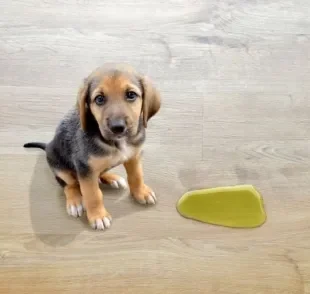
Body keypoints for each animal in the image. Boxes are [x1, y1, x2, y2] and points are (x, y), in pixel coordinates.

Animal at [23, 63, 161, 230]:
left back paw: (111, 178)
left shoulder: (133, 156)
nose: (117, 127)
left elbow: (137, 176)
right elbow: (93, 194)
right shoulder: (84, 168)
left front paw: (141, 192)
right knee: (69, 185)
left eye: (131, 95)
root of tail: (48, 145)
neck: (117, 143)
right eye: (99, 99)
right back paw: (75, 201)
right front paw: (98, 216)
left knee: (99, 174)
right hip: (60, 167)